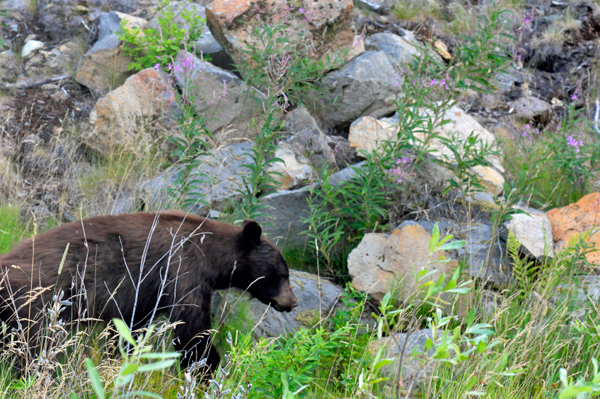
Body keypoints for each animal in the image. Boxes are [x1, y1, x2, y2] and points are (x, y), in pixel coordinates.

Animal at [0, 212, 298, 372]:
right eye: (283, 273)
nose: (292, 302)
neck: (211, 255)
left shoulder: (144, 295)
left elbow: (130, 329)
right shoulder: (182, 270)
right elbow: (191, 329)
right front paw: (207, 368)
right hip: (36, 304)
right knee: (32, 348)